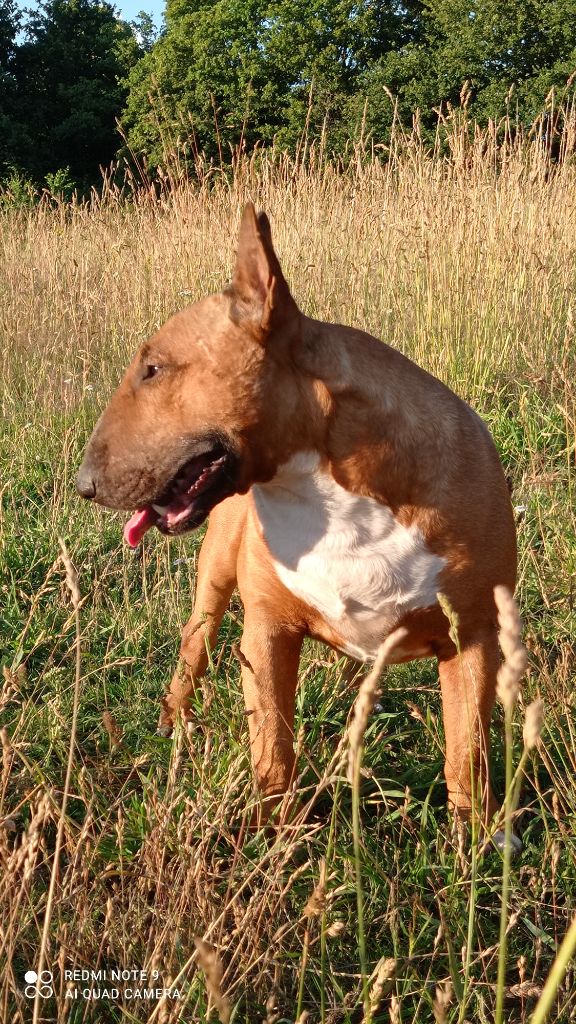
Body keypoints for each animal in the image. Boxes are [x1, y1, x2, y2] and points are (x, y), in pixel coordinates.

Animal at [77, 201, 516, 847]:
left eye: (153, 369)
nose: (84, 484)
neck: (324, 488)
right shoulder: (267, 631)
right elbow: (273, 746)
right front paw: (275, 834)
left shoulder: (475, 634)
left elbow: (468, 750)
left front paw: (481, 842)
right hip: (214, 577)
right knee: (195, 642)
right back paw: (174, 718)